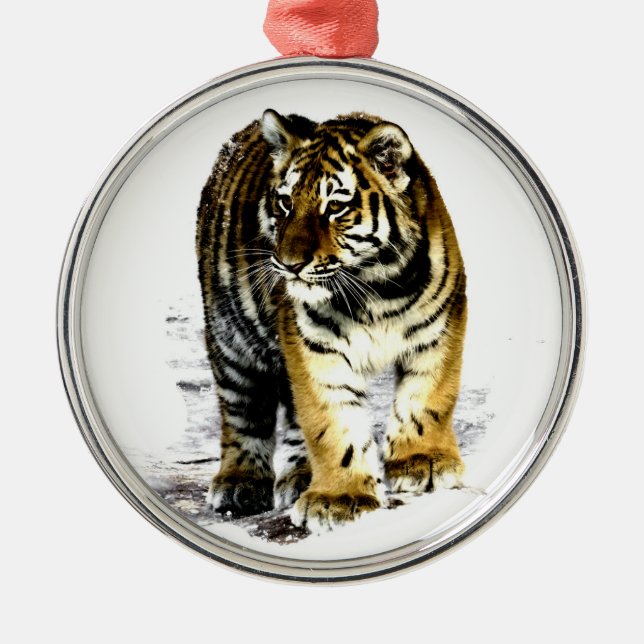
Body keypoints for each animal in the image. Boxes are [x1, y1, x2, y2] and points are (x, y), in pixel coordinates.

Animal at [196, 109, 467, 532]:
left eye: (335, 208)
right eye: (285, 203)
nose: (288, 264)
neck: (377, 287)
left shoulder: (439, 327)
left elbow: (428, 398)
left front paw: (424, 463)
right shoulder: (314, 345)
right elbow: (331, 421)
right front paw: (340, 498)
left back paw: (300, 476)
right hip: (231, 340)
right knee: (243, 411)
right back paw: (240, 484)